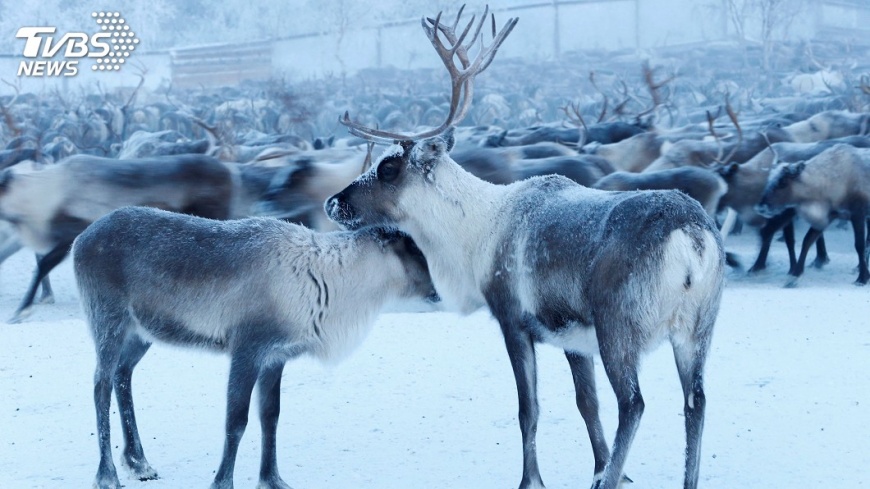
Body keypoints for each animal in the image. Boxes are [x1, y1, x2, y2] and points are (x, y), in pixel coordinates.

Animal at [326, 6, 725, 489]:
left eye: (387, 167)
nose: (333, 202)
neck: (474, 235)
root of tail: (691, 236)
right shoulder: (572, 335)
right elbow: (586, 404)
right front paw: (604, 466)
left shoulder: (512, 318)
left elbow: (528, 409)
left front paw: (533, 479)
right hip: (698, 327)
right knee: (696, 400)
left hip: (620, 324)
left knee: (634, 403)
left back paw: (608, 480)